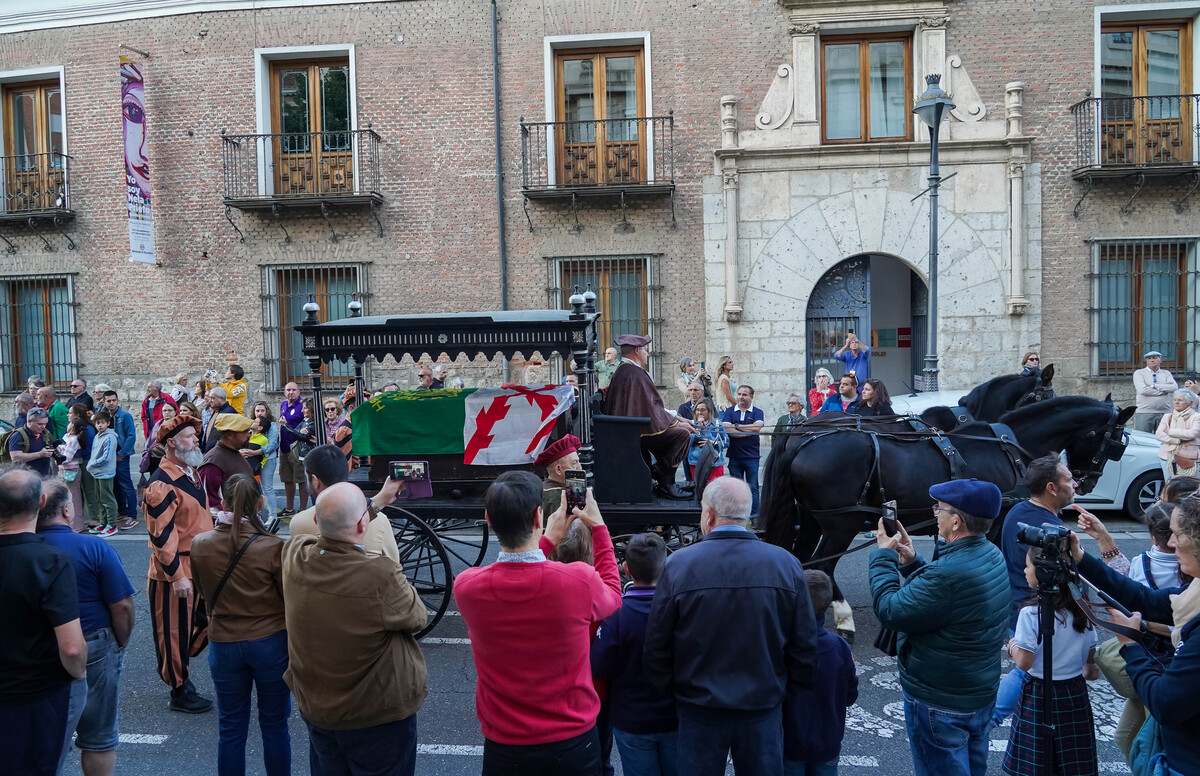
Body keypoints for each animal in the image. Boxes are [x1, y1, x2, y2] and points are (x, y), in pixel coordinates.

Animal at [763, 398, 1128, 642]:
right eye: (1116, 441)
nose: (1086, 482)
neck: (1007, 449)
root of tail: (802, 437)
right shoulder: (995, 521)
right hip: (841, 524)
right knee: (823, 565)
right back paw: (843, 619)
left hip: (812, 520)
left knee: (804, 561)